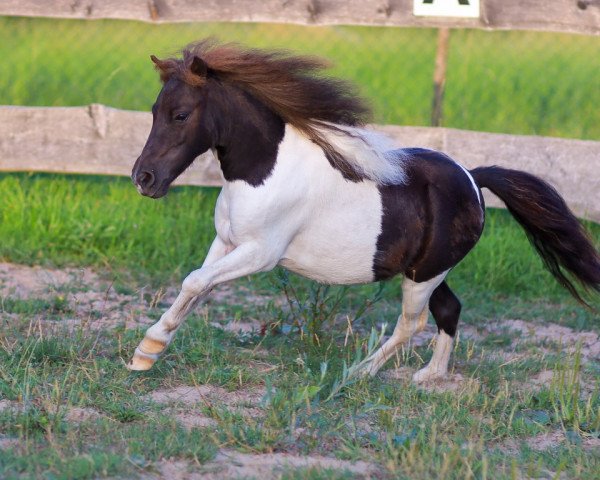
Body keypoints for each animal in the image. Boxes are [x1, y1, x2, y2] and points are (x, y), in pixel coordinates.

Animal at [129, 39, 600, 380]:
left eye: (181, 114)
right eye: (153, 111)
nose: (143, 178)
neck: (263, 174)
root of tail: (473, 178)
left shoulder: (261, 253)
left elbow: (195, 282)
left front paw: (146, 349)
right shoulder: (226, 243)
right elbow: (197, 286)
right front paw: (146, 353)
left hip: (424, 275)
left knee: (413, 324)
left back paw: (359, 373)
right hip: (428, 271)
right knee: (449, 310)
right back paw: (429, 377)